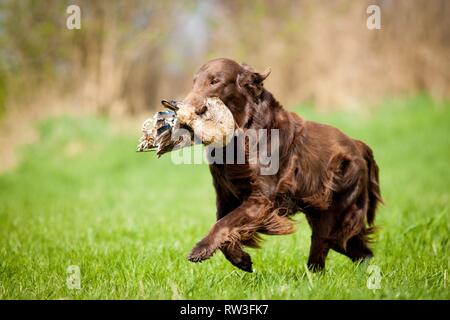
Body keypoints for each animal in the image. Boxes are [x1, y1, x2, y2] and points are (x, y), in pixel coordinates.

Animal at [181, 58, 382, 272]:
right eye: (194, 82)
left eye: (214, 81)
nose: (184, 109)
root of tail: (357, 145)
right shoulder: (225, 196)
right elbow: (224, 226)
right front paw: (241, 259)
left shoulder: (261, 199)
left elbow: (223, 224)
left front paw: (201, 248)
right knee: (359, 252)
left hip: (334, 214)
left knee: (325, 252)